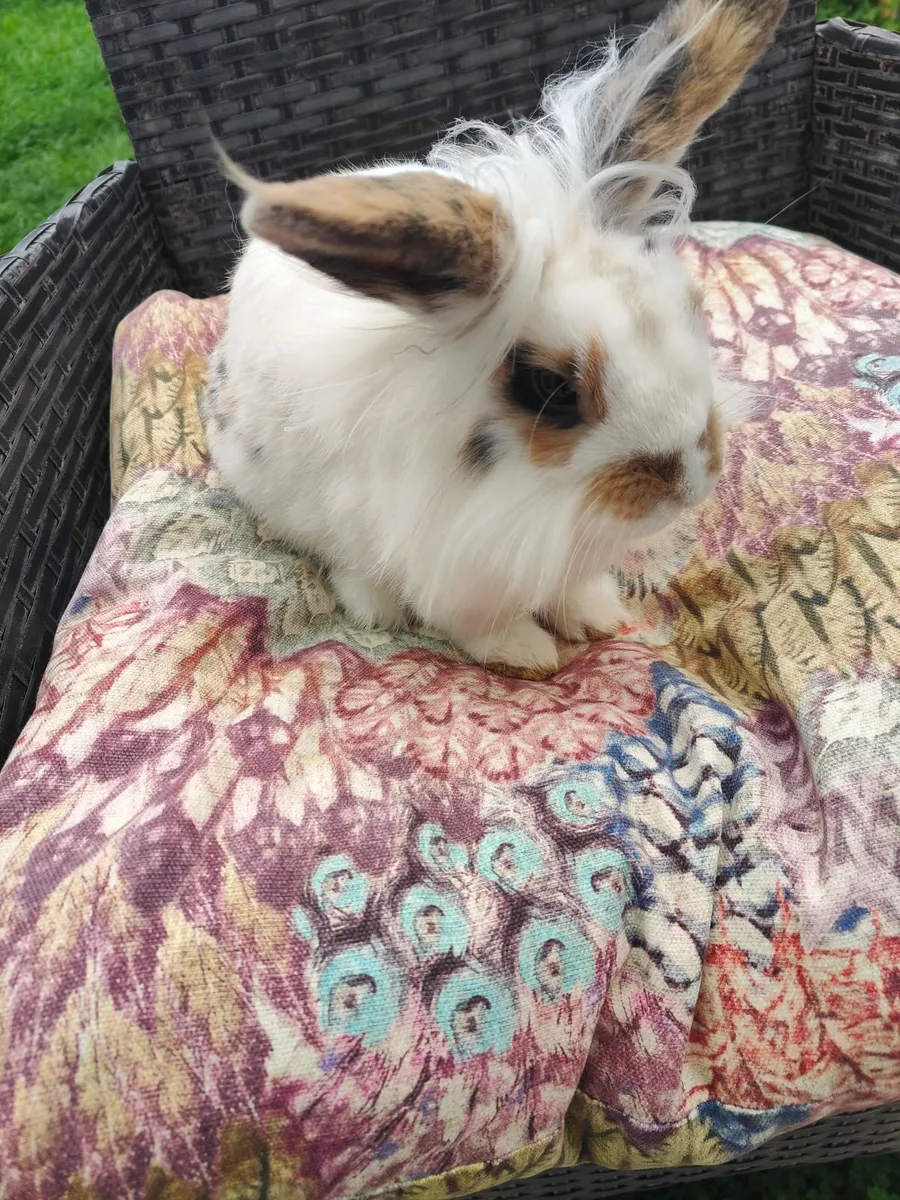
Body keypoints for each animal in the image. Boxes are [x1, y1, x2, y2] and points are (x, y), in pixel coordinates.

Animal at [204, 0, 784, 680]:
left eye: (692, 307)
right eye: (550, 389)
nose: (694, 480)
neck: (544, 502)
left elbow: (572, 587)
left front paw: (594, 615)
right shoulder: (454, 558)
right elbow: (476, 622)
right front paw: (525, 652)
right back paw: (374, 603)